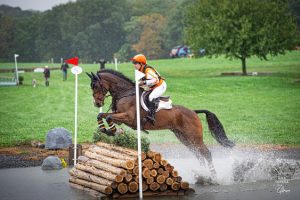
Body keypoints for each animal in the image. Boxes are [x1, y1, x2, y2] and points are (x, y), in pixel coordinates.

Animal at [86, 69, 234, 178]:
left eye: (96, 86)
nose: (97, 103)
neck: (125, 93)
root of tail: (193, 112)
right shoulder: (119, 117)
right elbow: (103, 115)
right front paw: (105, 130)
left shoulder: (128, 118)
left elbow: (109, 117)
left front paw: (111, 131)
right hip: (183, 137)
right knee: (198, 154)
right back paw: (203, 175)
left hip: (194, 137)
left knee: (206, 153)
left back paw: (213, 177)